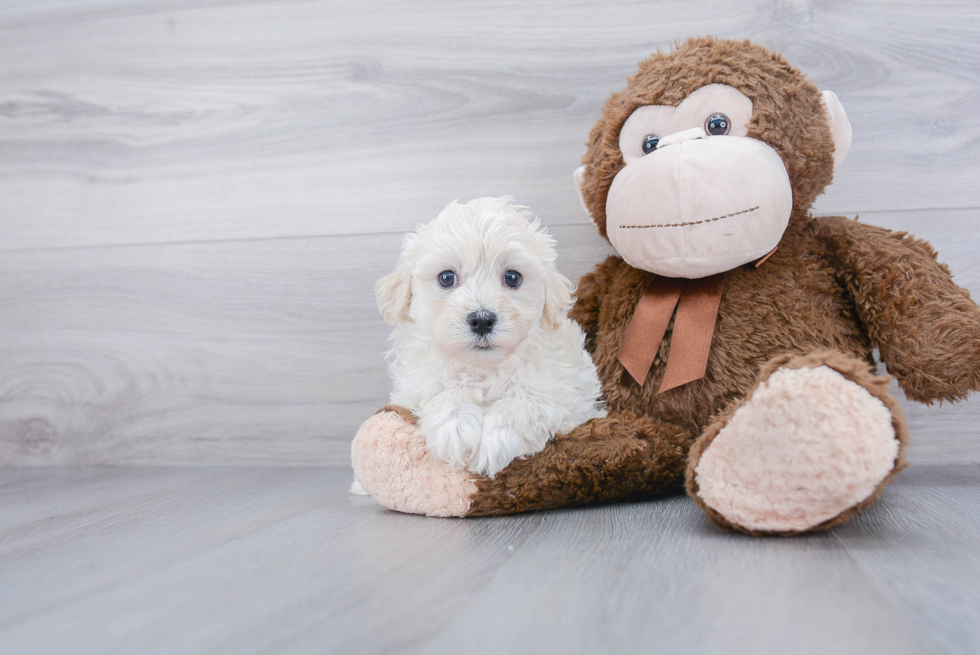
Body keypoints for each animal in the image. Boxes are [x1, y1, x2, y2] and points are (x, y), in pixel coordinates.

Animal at [376, 195, 604, 476]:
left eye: (513, 277)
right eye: (446, 278)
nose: (482, 320)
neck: (482, 367)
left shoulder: (568, 397)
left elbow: (525, 401)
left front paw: (494, 441)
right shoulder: (415, 388)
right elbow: (443, 391)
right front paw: (456, 427)